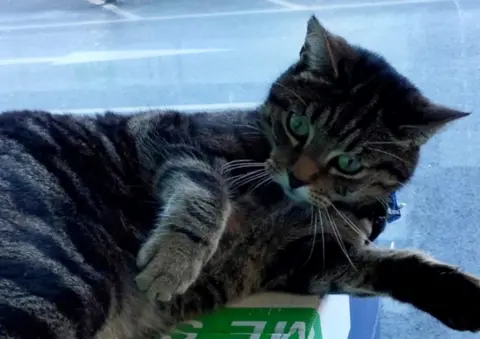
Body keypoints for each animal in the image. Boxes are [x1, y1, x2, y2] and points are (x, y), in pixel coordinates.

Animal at [0, 14, 480, 338]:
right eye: (298, 125)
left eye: (349, 163)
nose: (297, 177)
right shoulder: (172, 138)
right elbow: (207, 193)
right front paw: (173, 262)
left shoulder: (308, 260)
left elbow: (393, 266)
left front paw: (460, 295)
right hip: (55, 276)